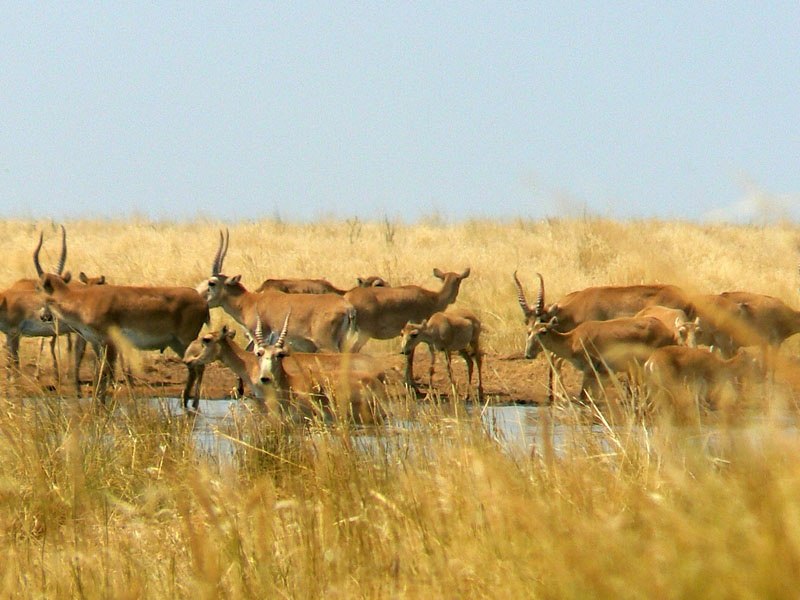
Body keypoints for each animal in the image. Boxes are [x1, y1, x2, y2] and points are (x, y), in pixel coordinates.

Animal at [532, 316, 676, 400]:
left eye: (543, 331)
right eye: (530, 330)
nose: (529, 353)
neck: (573, 340)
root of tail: (669, 331)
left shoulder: (589, 371)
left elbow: (583, 395)